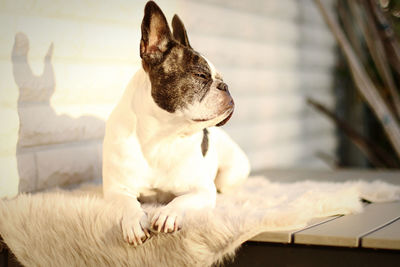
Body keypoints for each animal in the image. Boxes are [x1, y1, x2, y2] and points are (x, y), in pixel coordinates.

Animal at [101, 0, 248, 247]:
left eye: (220, 78)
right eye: (200, 75)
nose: (225, 86)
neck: (160, 137)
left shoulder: (202, 189)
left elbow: (182, 201)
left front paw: (168, 213)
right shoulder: (115, 190)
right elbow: (127, 204)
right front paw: (134, 221)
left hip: (231, 174)